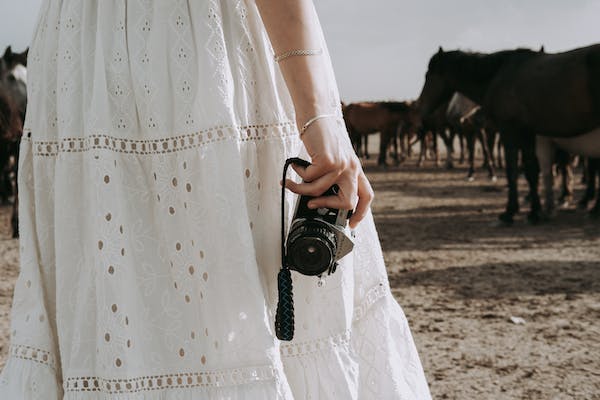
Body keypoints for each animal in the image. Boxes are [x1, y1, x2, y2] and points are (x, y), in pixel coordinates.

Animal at [418, 46, 600, 225]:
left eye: (428, 75)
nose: (421, 107)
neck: (500, 74)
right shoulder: (528, 135)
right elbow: (531, 171)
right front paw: (535, 212)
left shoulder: (510, 132)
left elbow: (512, 170)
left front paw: (509, 212)